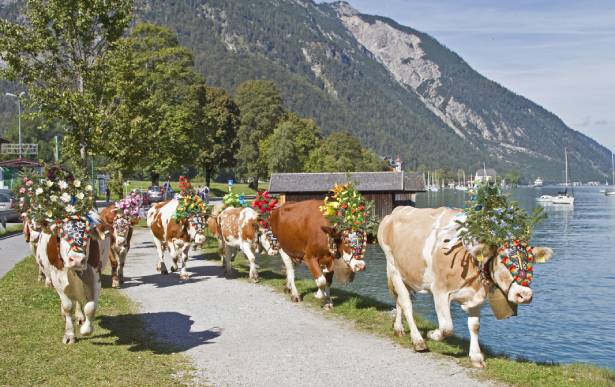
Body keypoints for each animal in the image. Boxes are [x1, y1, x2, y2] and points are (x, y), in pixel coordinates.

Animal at [36, 215, 111, 346]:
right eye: (61, 234)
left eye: (88, 235)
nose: (76, 259)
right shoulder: (58, 279)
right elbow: (67, 307)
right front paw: (69, 335)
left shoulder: (95, 278)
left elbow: (90, 307)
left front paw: (86, 329)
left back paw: (80, 316)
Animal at [378, 206, 556, 366]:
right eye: (503, 260)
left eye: (530, 262)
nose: (525, 295)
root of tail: (395, 211)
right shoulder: (440, 291)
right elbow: (447, 327)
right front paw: (432, 334)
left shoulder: (476, 295)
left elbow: (475, 326)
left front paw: (476, 357)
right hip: (393, 269)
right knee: (406, 303)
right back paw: (418, 341)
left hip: (407, 273)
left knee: (399, 300)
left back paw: (398, 329)